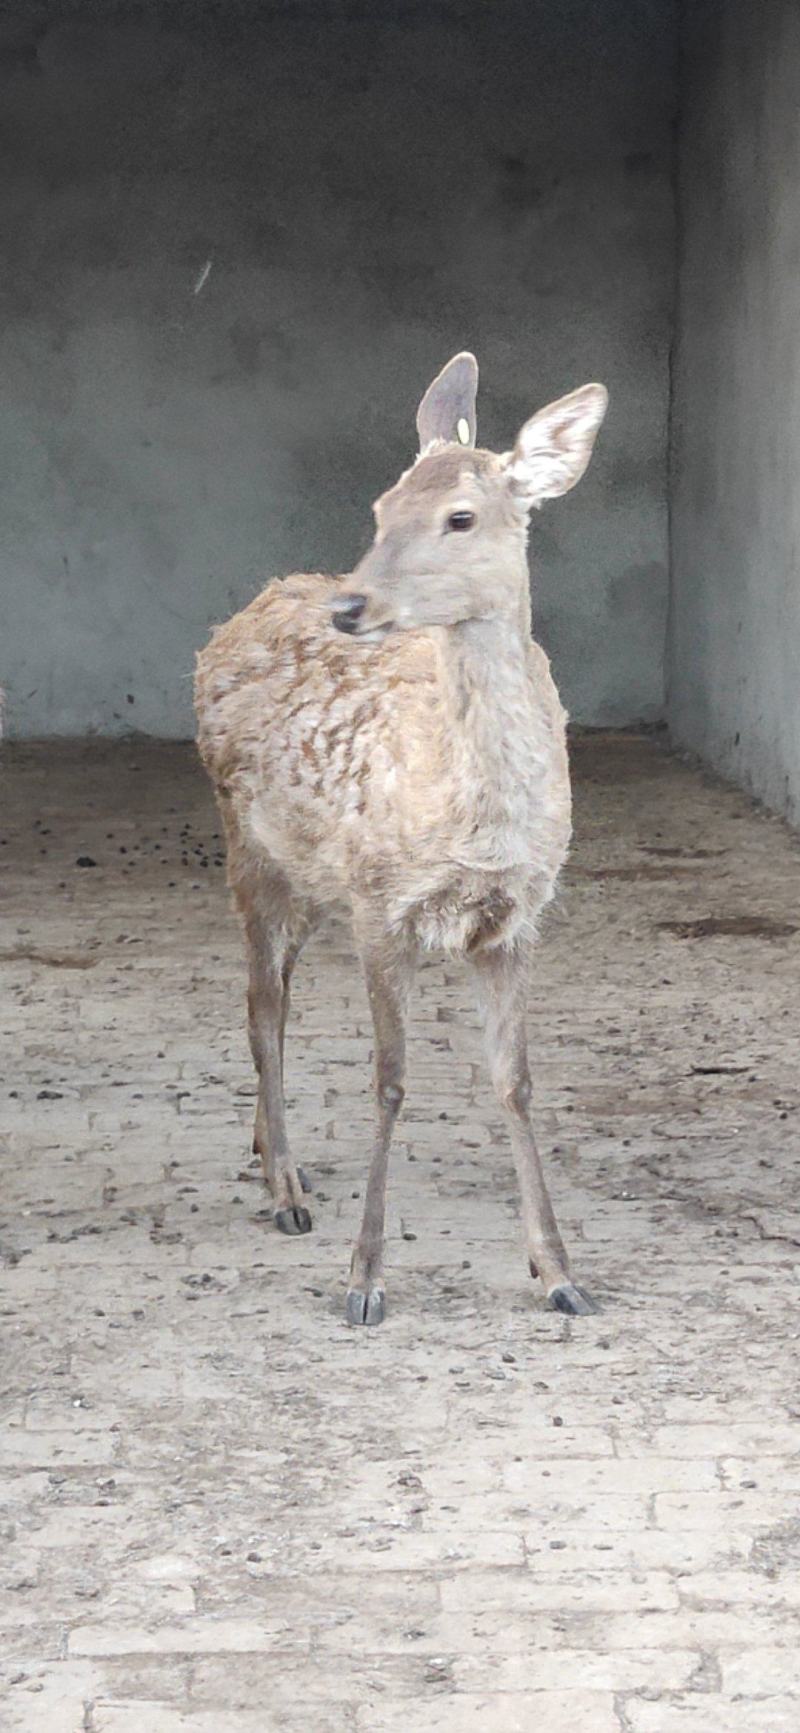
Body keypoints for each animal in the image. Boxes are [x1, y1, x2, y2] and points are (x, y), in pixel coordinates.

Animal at [194, 353, 608, 1325]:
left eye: (460, 516)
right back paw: (286, 1187)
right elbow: (388, 1078)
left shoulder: (516, 917)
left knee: (273, 993)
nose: (352, 605)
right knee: (261, 1004)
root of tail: (257, 602)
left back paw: (269, 1153)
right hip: (250, 848)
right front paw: (363, 1280)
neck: (474, 823)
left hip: (314, 877)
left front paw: (558, 1270)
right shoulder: (384, 901)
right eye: (381, 507)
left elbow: (515, 1079)